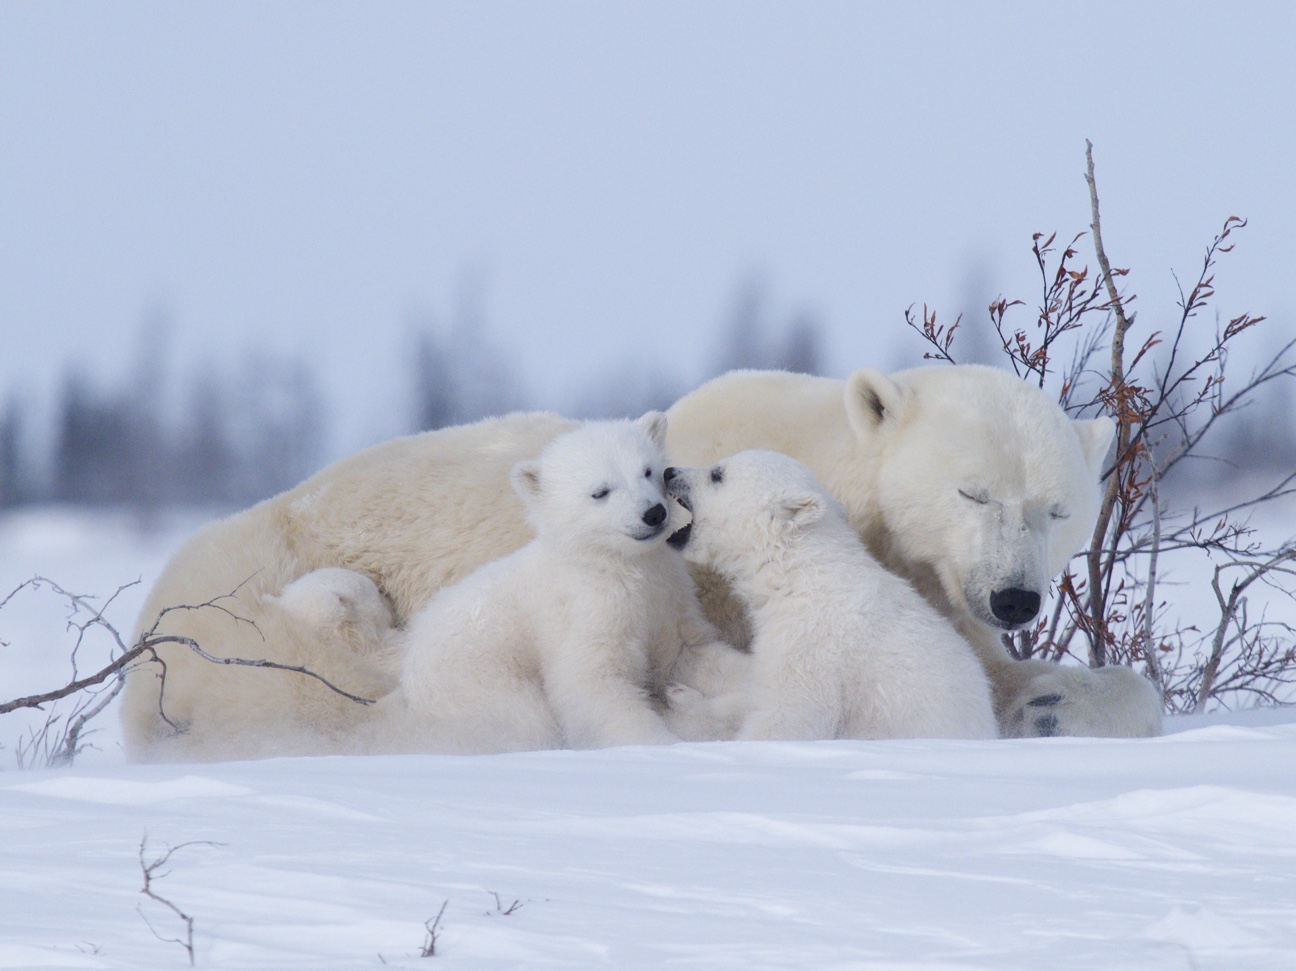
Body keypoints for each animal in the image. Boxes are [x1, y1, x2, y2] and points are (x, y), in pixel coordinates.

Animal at [357, 413, 726, 754]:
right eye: (600, 492)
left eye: (648, 471)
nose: (653, 513)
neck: (610, 562)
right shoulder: (586, 610)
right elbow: (592, 683)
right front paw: (663, 744)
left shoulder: (668, 594)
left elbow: (686, 650)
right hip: (478, 682)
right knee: (522, 719)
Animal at [661, 450, 998, 741]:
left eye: (717, 474)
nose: (669, 472)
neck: (801, 572)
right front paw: (682, 695)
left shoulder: (812, 645)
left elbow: (790, 716)